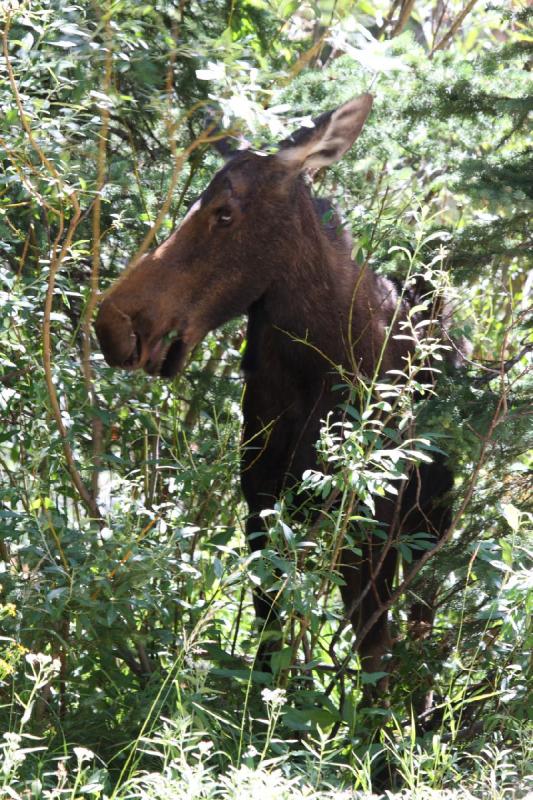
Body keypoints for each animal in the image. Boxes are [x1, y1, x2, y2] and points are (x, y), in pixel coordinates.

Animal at [95, 94, 454, 680]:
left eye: (224, 212)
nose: (114, 323)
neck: (319, 368)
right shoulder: (260, 499)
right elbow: (267, 639)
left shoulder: (369, 517)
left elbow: (374, 651)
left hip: (427, 523)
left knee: (421, 621)